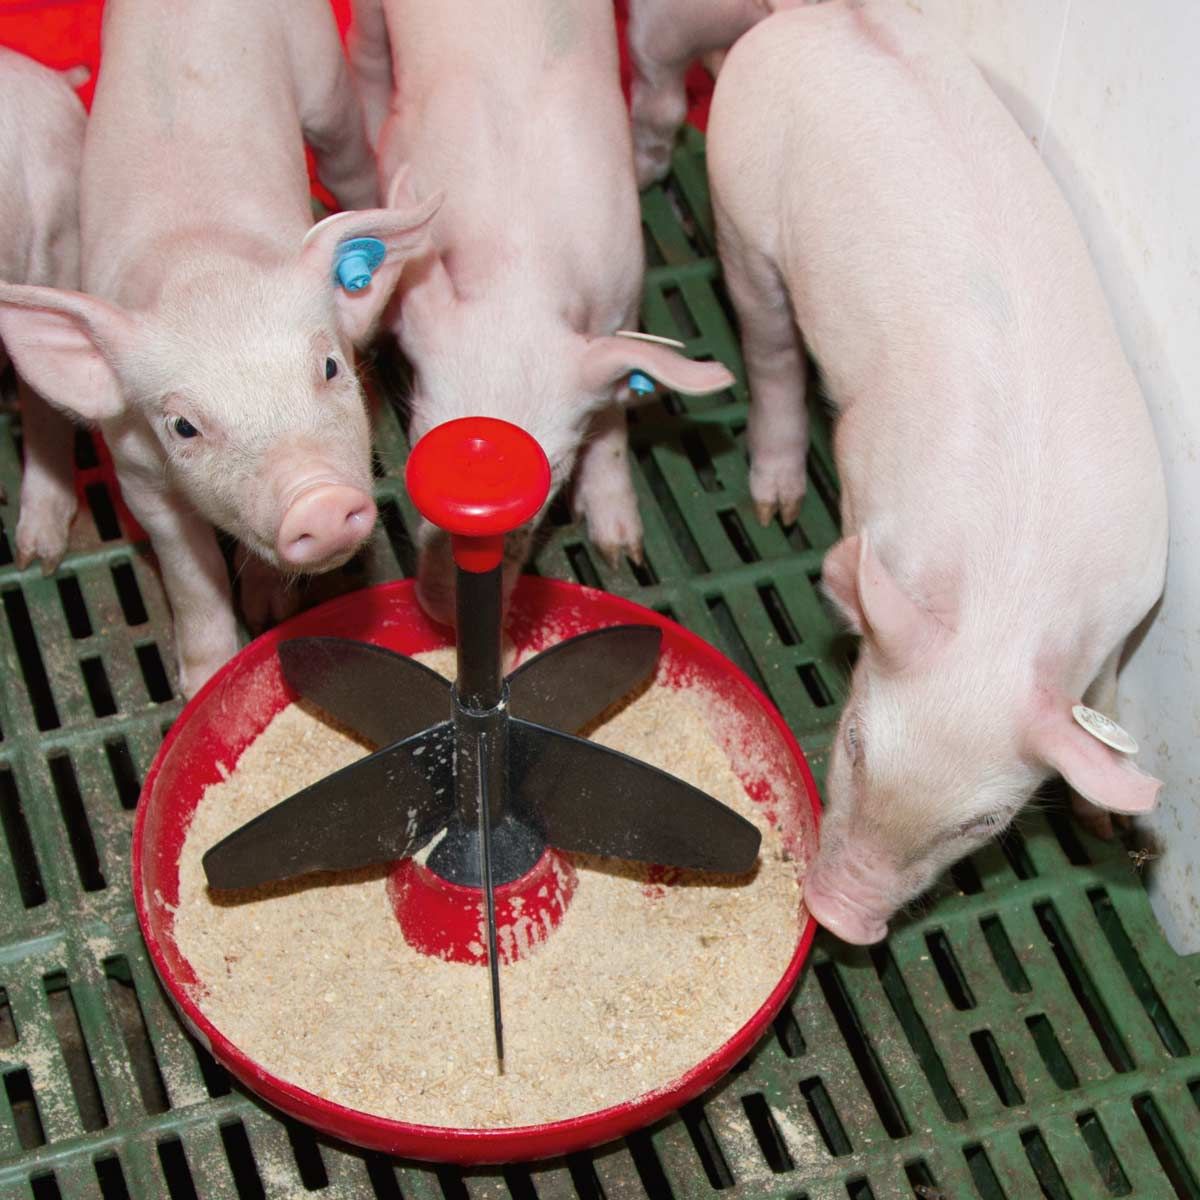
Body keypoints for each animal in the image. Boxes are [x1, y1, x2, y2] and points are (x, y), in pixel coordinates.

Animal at [0, 0, 439, 697]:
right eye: (183, 426)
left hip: (322, 76)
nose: (318, 498)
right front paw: (201, 680)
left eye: (329, 366)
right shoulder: (136, 473)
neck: (201, 263)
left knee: (345, 156)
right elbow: (189, 570)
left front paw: (268, 610)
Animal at [347, 0, 735, 626]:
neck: (521, 265)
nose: (444, 613)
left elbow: (614, 408)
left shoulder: (621, 287)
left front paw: (620, 546)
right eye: (417, 438)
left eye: (553, 479)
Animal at [706, 0, 1169, 944]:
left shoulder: (1134, 595)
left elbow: (1103, 689)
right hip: (739, 208)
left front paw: (1104, 822)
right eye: (853, 741)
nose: (841, 917)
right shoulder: (864, 471)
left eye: (984, 822)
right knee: (770, 349)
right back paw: (774, 504)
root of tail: (822, 16)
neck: (1012, 592)